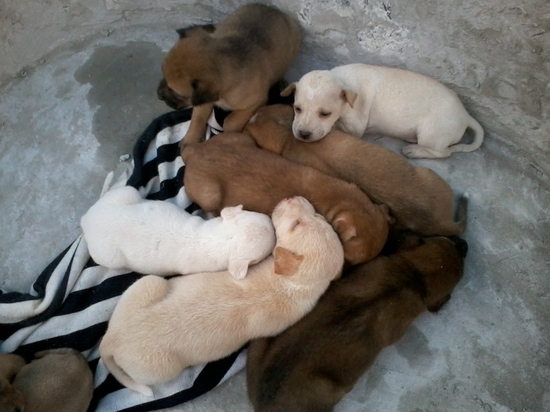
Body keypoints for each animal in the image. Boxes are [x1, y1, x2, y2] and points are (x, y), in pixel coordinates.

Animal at [99, 196, 345, 396]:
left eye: (297, 225)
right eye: (313, 218)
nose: (291, 197)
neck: (294, 283)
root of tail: (111, 340)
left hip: (161, 366)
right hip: (149, 283)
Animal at [157, 3, 301, 150]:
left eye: (176, 92)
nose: (159, 96)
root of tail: (275, 10)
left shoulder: (255, 102)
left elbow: (230, 121)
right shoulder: (203, 100)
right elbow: (197, 117)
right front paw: (190, 139)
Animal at [280, 63, 484, 158]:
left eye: (325, 114)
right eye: (297, 109)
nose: (303, 134)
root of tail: (465, 115)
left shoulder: (355, 127)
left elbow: (336, 127)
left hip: (431, 134)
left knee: (444, 152)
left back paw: (415, 151)